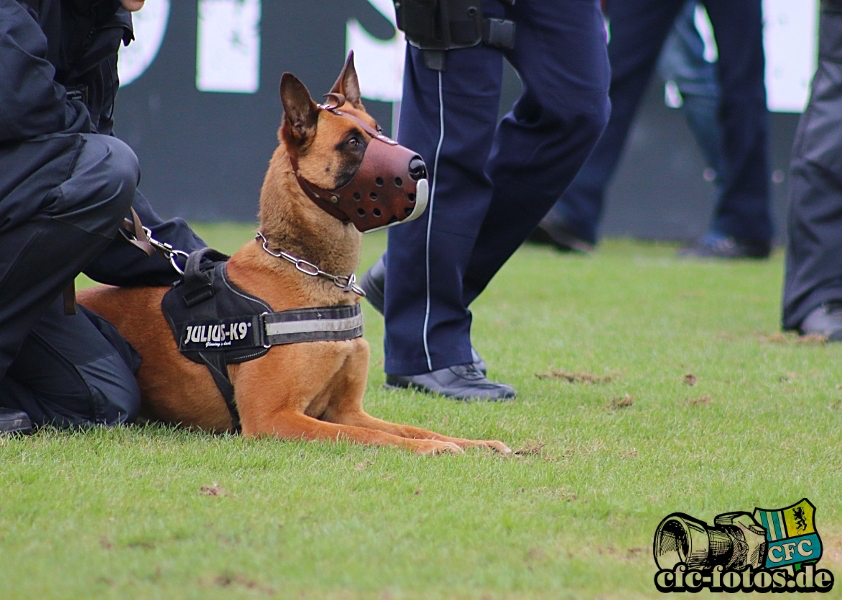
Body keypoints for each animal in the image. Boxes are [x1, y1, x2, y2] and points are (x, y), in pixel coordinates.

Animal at [79, 56, 508, 458]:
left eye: (379, 131)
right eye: (353, 142)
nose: (421, 167)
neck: (310, 271)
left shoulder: (347, 410)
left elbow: (408, 428)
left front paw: (472, 443)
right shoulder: (273, 418)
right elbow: (370, 437)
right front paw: (430, 449)